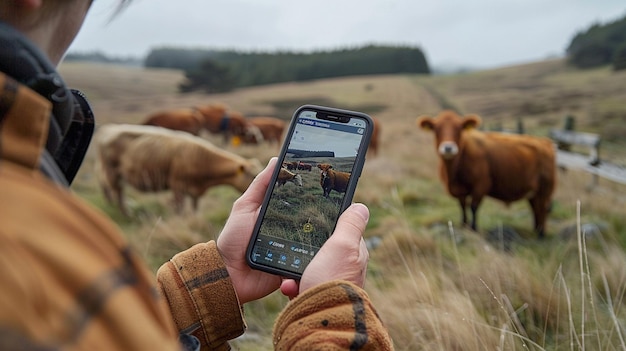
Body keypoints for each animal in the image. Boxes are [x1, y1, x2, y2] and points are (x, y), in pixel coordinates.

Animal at [93, 125, 260, 216]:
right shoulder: (177, 186)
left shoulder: (194, 191)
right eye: (252, 176)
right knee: (117, 192)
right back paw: (126, 212)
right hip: (113, 173)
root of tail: (109, 128)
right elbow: (180, 208)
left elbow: (194, 209)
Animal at [416, 110, 552, 239]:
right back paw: (536, 231)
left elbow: (473, 207)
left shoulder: (481, 185)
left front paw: (473, 228)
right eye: (436, 129)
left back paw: (541, 235)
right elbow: (462, 206)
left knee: (542, 210)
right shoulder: (460, 191)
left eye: (459, 128)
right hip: (533, 193)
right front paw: (463, 224)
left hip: (544, 189)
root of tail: (544, 141)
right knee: (536, 210)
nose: (448, 148)